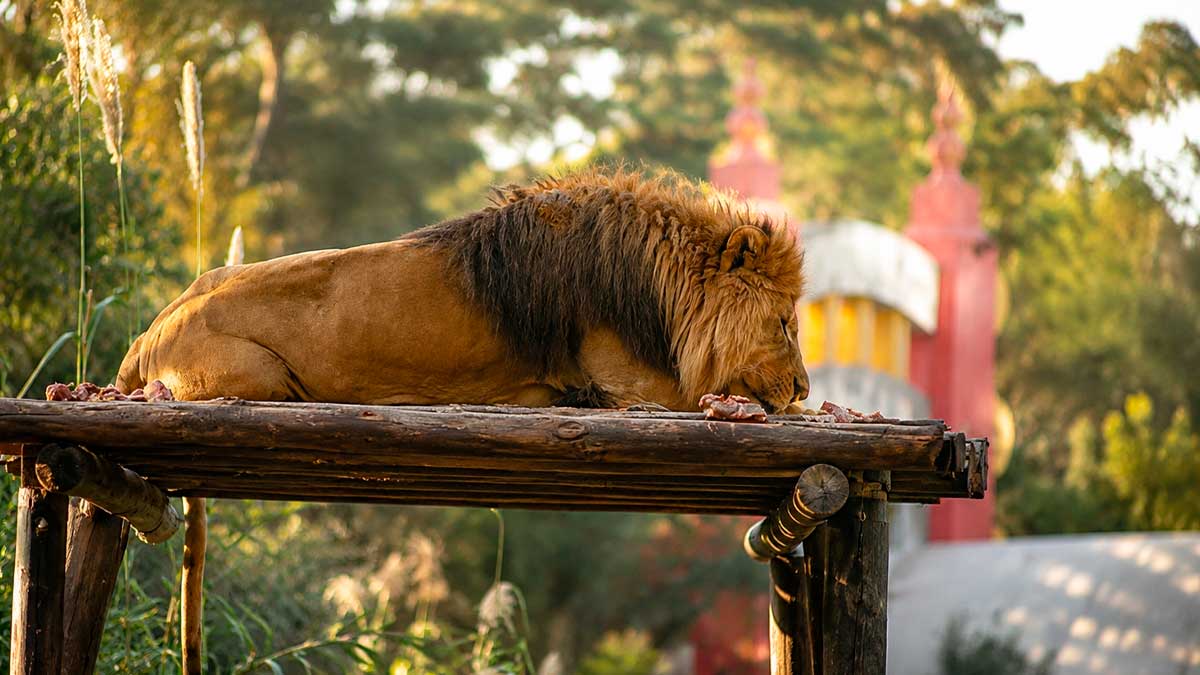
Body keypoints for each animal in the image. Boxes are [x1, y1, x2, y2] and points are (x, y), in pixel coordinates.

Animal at [115, 168, 808, 672]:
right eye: (784, 323)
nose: (803, 382)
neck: (658, 289)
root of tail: (151, 328)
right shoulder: (634, 387)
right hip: (260, 376)